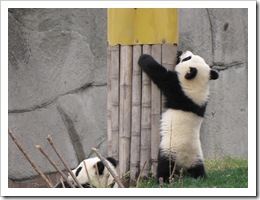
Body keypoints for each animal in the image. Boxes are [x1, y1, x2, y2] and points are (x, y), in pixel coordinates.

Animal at [138, 50, 219, 181]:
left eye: (187, 58)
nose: (183, 52)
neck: (197, 86)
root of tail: (185, 163)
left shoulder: (178, 89)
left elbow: (160, 74)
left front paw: (144, 57)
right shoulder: (202, 101)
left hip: (169, 149)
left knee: (165, 165)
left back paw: (162, 180)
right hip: (197, 156)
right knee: (199, 169)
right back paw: (202, 177)